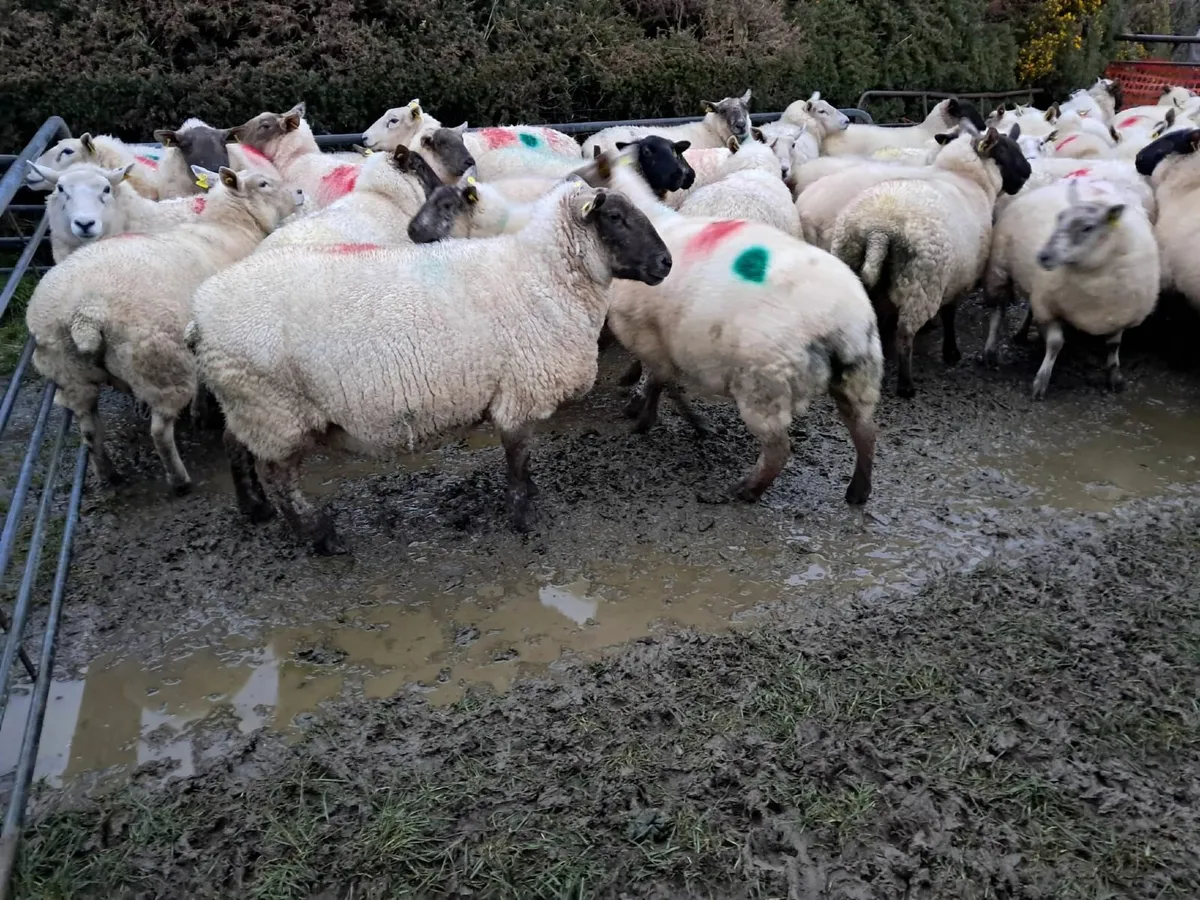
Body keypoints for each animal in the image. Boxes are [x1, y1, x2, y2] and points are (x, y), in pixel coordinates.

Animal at [184, 181, 673, 554]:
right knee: (280, 476)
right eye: (617, 218)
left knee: (234, 444)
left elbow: (522, 458)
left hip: (249, 404)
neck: (541, 276)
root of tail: (199, 318)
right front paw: (522, 514)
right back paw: (320, 535)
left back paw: (255, 509)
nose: (666, 262)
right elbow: (518, 457)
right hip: (274, 408)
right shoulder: (518, 391)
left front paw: (527, 498)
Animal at [577, 148, 883, 509]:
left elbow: (661, 383)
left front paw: (653, 419)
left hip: (764, 386)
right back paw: (858, 491)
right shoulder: (662, 341)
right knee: (866, 432)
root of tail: (840, 320)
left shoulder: (648, 337)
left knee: (779, 449)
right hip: (859, 376)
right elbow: (661, 382)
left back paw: (748, 489)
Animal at [830, 126, 1031, 397]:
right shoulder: (960, 276)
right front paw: (951, 352)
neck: (966, 179)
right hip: (921, 283)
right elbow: (949, 314)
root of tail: (878, 230)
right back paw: (906, 385)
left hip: (850, 255)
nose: (1027, 172)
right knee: (905, 334)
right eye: (1003, 150)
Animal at [983, 177, 1159, 397]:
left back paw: (1021, 334)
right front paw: (1041, 381)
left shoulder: (1120, 315)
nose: (1043, 256)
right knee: (998, 312)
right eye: (1059, 218)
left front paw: (1115, 377)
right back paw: (990, 351)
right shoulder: (1050, 308)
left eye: (1088, 228)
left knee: (1030, 306)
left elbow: (1113, 345)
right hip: (1000, 268)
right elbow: (1055, 344)